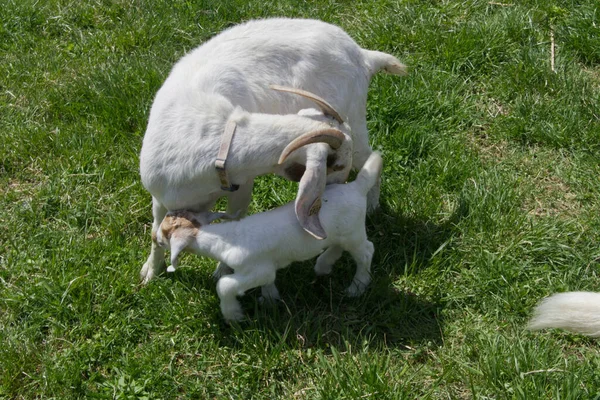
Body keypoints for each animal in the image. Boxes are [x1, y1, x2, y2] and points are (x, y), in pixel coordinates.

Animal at [138, 17, 406, 282]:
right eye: (336, 164)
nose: (337, 191)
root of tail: (362, 54)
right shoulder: (161, 199)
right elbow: (155, 232)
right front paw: (150, 272)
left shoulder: (242, 189)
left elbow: (235, 220)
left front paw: (223, 269)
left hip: (356, 119)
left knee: (370, 157)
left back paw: (371, 206)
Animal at [152, 153, 382, 322]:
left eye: (165, 235)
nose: (155, 238)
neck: (226, 239)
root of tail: (356, 187)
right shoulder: (266, 268)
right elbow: (269, 280)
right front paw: (270, 299)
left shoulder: (255, 269)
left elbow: (225, 285)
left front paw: (233, 315)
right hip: (340, 232)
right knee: (337, 246)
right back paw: (323, 265)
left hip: (354, 232)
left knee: (366, 251)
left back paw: (356, 287)